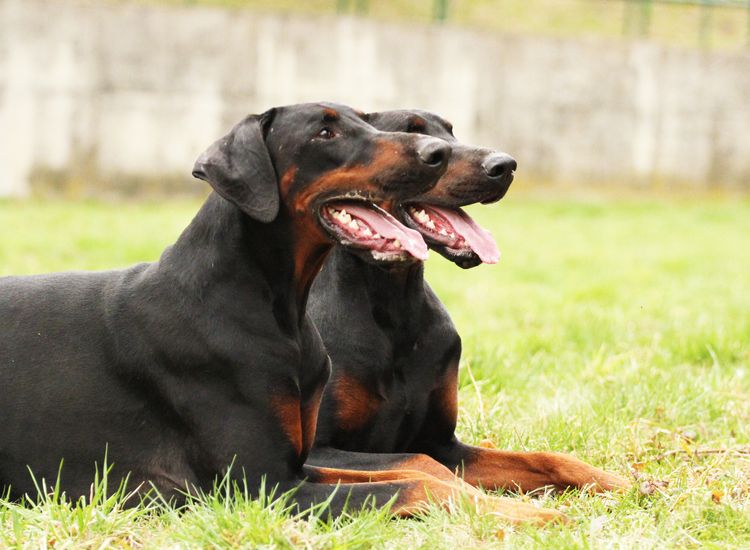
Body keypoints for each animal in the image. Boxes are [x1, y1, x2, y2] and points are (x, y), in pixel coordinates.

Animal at [308, 111, 632, 496]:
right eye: (412, 132)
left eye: (451, 131)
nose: (505, 165)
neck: (396, 305)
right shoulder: (318, 449)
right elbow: (420, 462)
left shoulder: (443, 442)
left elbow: (546, 457)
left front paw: (623, 482)